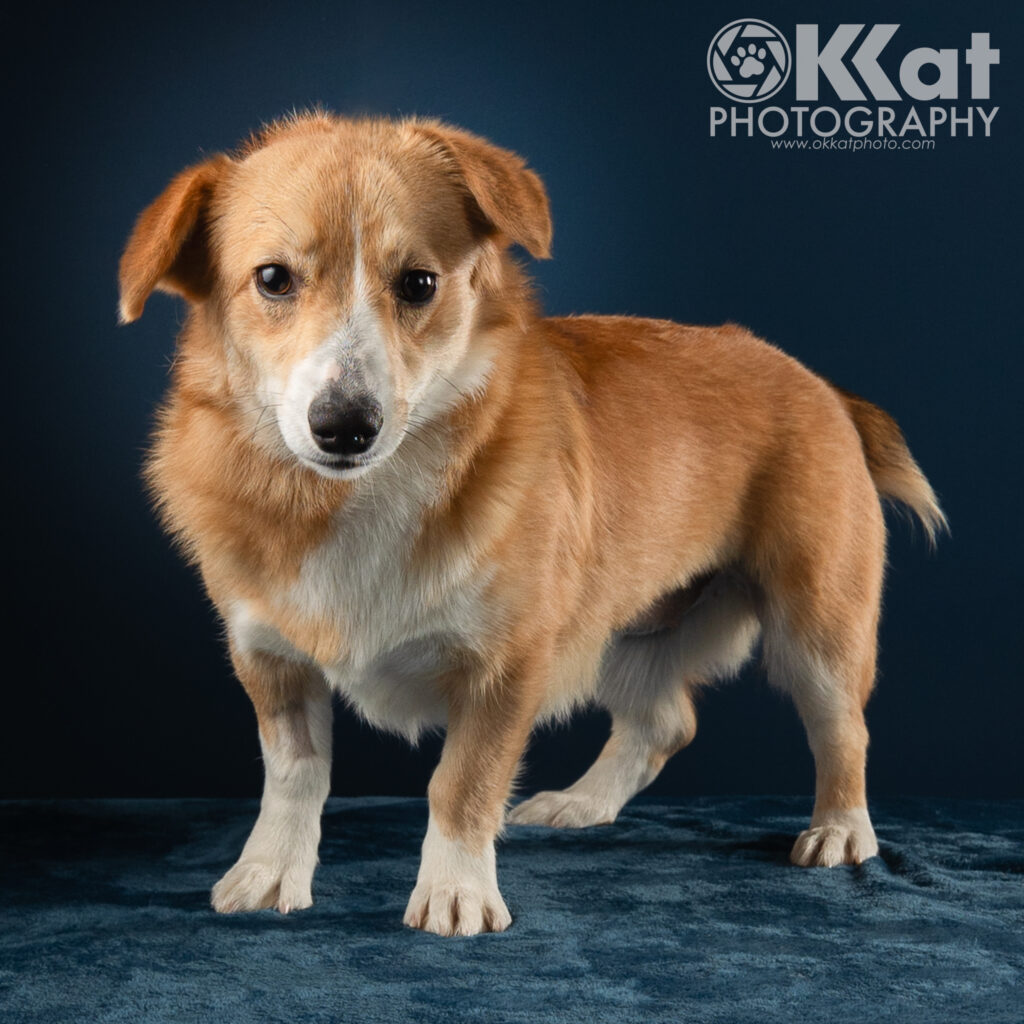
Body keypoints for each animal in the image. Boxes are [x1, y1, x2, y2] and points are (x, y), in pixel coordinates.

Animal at [119, 112, 942, 937]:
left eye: (419, 284)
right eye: (272, 280)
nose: (345, 425)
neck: (357, 498)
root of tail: (822, 385)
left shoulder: (506, 667)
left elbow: (461, 784)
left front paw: (455, 895)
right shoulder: (270, 658)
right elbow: (294, 777)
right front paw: (268, 874)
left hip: (816, 628)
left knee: (844, 730)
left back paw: (839, 830)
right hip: (618, 633)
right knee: (664, 723)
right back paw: (584, 803)